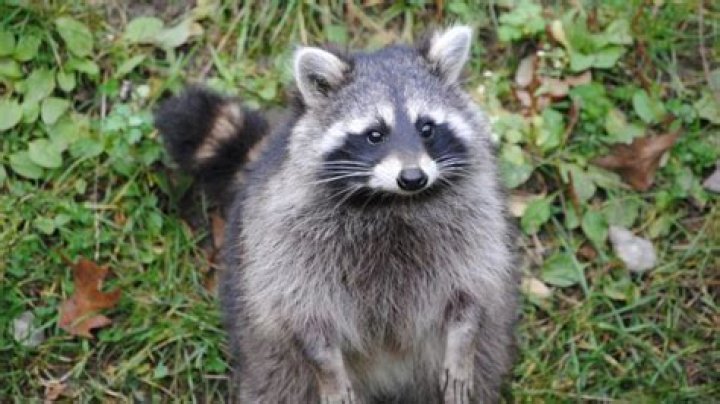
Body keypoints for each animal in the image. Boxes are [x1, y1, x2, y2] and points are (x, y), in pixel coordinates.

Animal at [156, 26, 519, 404]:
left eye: (427, 128)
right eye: (375, 135)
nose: (413, 178)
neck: (390, 201)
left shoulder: (474, 215)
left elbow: (472, 288)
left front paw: (462, 342)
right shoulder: (285, 234)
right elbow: (302, 310)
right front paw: (327, 367)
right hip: (268, 354)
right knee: (278, 382)